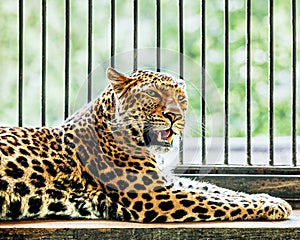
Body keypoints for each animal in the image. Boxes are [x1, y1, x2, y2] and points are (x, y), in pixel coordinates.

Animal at [0, 67, 292, 221]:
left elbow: (215, 189)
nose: (175, 115)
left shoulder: (165, 180)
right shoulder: (154, 194)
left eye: (181, 97)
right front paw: (273, 206)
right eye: (152, 93)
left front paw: (268, 197)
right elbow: (215, 200)